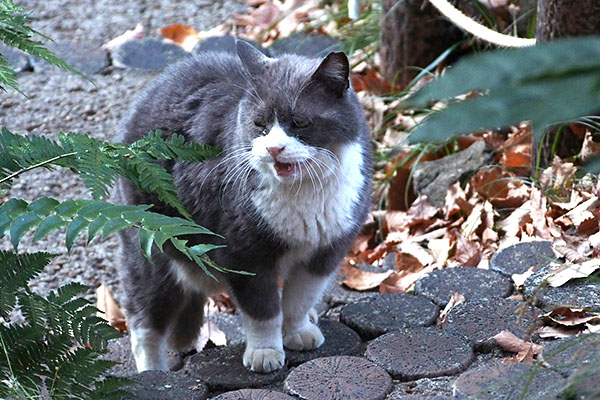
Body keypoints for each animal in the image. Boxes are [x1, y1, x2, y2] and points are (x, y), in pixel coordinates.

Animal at [112, 39, 370, 372]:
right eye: (259, 123)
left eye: (300, 122)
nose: (274, 148)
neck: (303, 192)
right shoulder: (244, 254)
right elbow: (263, 310)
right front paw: (265, 352)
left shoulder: (327, 249)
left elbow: (300, 297)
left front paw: (297, 331)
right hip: (152, 251)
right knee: (144, 319)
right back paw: (153, 371)